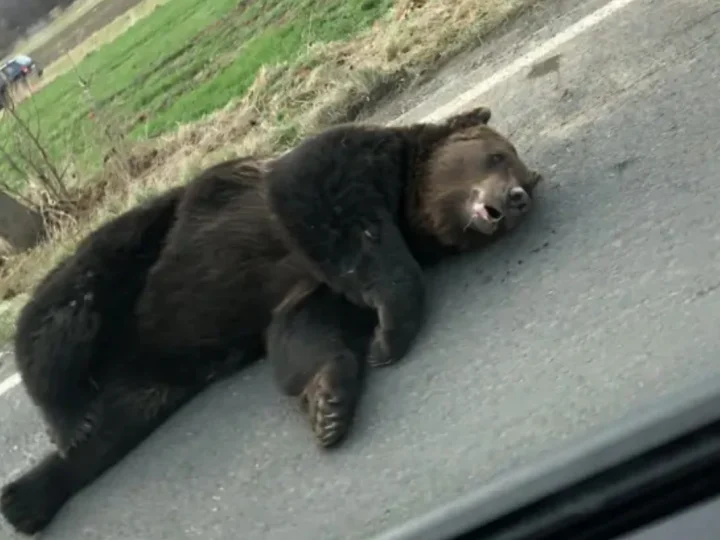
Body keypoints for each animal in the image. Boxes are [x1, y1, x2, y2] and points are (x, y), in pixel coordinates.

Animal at [0, 106, 544, 536]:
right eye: (497, 155)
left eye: (521, 174)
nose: (516, 196)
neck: (410, 207)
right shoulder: (341, 170)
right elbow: (324, 201)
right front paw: (391, 332)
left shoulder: (314, 288)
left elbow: (302, 330)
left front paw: (329, 402)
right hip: (137, 256)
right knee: (64, 309)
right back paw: (66, 416)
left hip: (160, 377)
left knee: (120, 421)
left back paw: (28, 497)